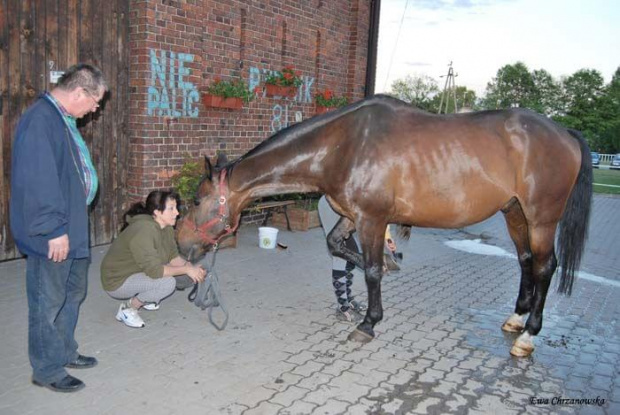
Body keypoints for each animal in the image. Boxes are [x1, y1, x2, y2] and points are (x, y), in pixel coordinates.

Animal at [174, 94, 592, 358]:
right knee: (525, 261)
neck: (342, 146)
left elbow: (372, 270)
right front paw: (373, 282)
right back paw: (515, 319)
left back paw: (529, 336)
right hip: (515, 213)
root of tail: (565, 133)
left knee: (545, 267)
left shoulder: (372, 219)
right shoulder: (351, 216)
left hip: (542, 218)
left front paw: (368, 322)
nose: (182, 246)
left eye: (195, 200)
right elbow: (338, 247)